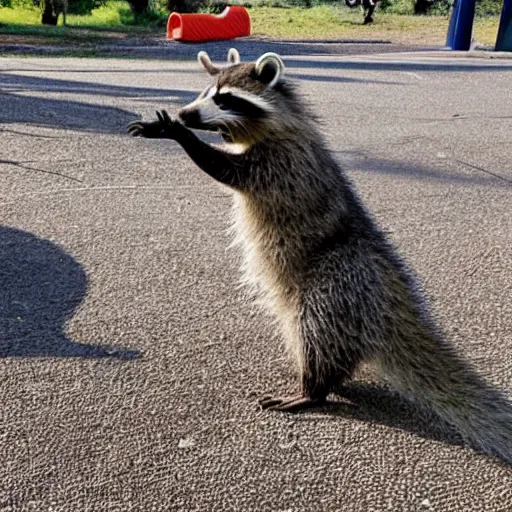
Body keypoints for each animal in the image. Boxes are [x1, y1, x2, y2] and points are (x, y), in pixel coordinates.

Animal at [128, 48, 512, 464]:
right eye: (205, 91)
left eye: (225, 98)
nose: (186, 115)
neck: (268, 127)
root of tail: (388, 301)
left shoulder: (286, 164)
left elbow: (231, 171)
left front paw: (178, 134)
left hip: (339, 280)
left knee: (315, 328)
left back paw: (313, 390)